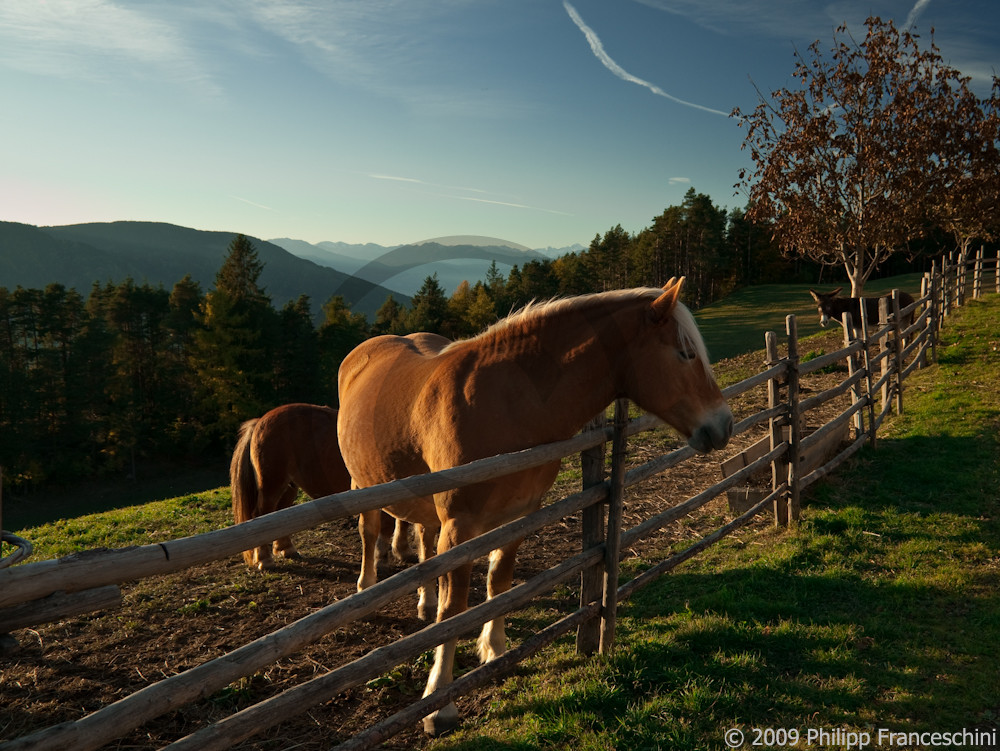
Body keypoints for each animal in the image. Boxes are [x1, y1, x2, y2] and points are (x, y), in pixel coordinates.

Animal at [229, 406, 412, 568]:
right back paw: (264, 559)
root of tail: (260, 421)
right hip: (271, 485)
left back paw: (287, 549)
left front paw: (403, 551)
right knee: (261, 516)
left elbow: (404, 521)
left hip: (289, 487)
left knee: (279, 515)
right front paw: (382, 558)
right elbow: (389, 524)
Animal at [338, 276, 736, 736]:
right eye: (686, 354)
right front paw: (440, 702)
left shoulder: (519, 515)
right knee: (370, 533)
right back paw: (366, 587)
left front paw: (495, 652)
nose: (724, 425)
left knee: (423, 540)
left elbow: (499, 583)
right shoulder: (460, 526)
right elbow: (453, 609)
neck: (506, 400)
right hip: (364, 484)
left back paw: (422, 600)